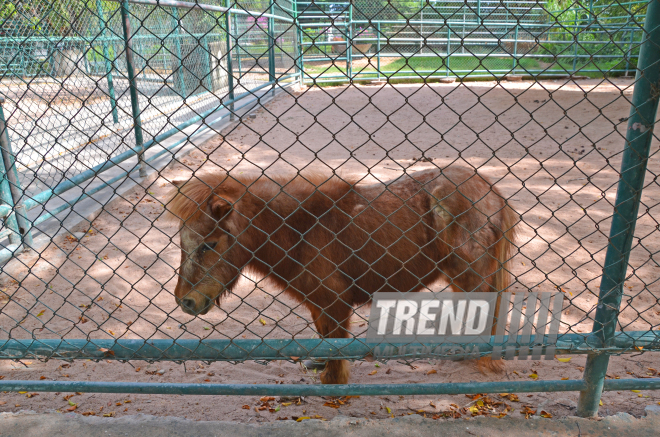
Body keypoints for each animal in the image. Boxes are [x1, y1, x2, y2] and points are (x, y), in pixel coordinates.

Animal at [165, 169, 516, 384]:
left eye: (210, 244)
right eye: (182, 244)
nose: (186, 301)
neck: (303, 230)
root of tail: (491, 190)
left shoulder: (334, 302)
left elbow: (335, 343)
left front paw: (333, 381)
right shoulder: (319, 304)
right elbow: (324, 337)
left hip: (472, 276)